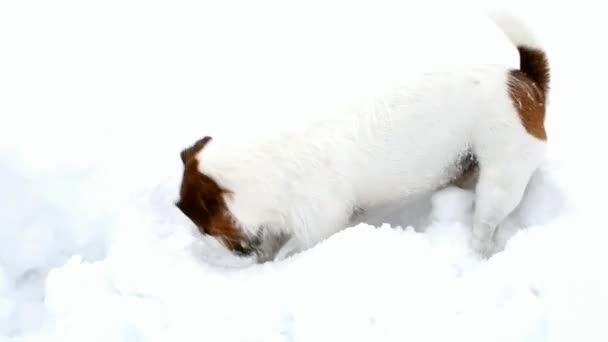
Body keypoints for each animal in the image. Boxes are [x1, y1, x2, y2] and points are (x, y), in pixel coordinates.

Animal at [176, 13, 552, 262]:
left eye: (206, 229)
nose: (238, 256)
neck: (265, 164)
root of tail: (523, 80)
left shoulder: (319, 226)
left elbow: (290, 251)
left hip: (500, 183)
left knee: (485, 224)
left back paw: (477, 253)